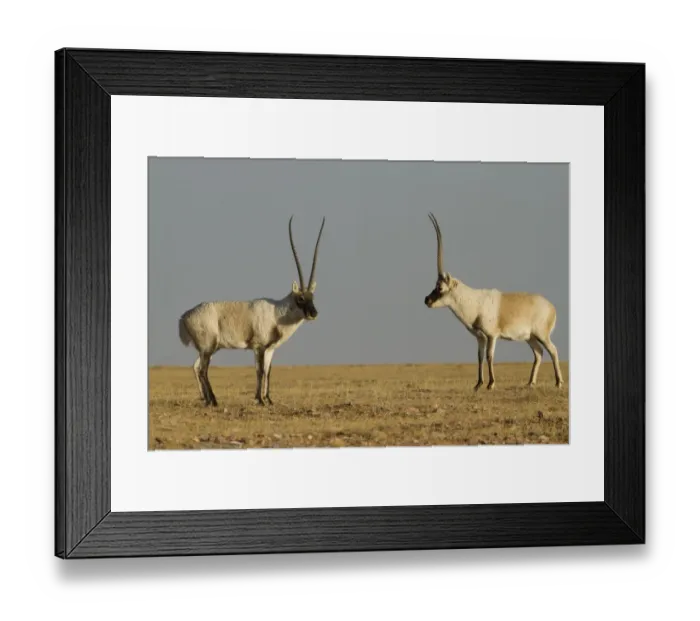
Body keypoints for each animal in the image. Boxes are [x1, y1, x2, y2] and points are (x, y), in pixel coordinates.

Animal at [178, 216, 326, 407]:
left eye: (311, 296)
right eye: (300, 298)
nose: (313, 314)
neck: (277, 313)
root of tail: (184, 317)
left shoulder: (270, 349)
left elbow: (268, 371)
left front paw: (268, 399)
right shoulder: (259, 347)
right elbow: (260, 371)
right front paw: (259, 400)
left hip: (208, 349)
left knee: (196, 367)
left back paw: (206, 399)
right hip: (208, 347)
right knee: (203, 369)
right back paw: (214, 400)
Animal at [423, 213, 563, 391]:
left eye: (440, 287)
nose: (427, 300)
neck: (474, 302)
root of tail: (551, 307)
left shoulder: (491, 335)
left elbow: (489, 356)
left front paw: (490, 384)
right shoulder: (480, 337)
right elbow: (479, 357)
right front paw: (477, 384)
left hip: (542, 334)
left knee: (553, 350)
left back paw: (558, 382)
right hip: (530, 337)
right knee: (538, 353)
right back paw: (530, 382)